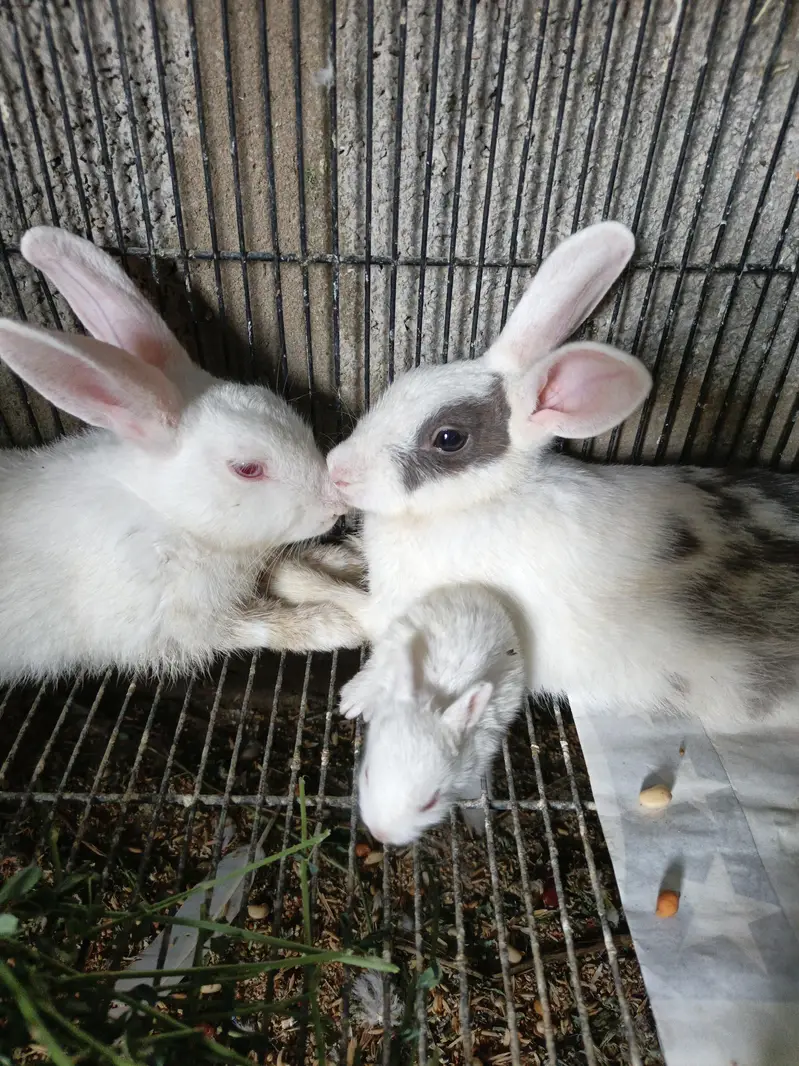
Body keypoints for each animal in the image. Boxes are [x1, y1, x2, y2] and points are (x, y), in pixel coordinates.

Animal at [0, 226, 365, 684]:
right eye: (247, 469)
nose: (336, 505)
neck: (171, 517)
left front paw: (344, 557)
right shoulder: (178, 626)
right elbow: (258, 625)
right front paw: (334, 624)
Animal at [271, 220, 799, 728]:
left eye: (449, 438)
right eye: (404, 381)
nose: (338, 468)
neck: (475, 503)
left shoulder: (405, 607)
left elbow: (357, 612)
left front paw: (296, 588)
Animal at [344, 585, 525, 846]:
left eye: (430, 803)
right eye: (367, 773)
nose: (380, 834)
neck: (439, 698)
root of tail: (476, 591)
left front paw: (478, 825)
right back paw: (353, 700)